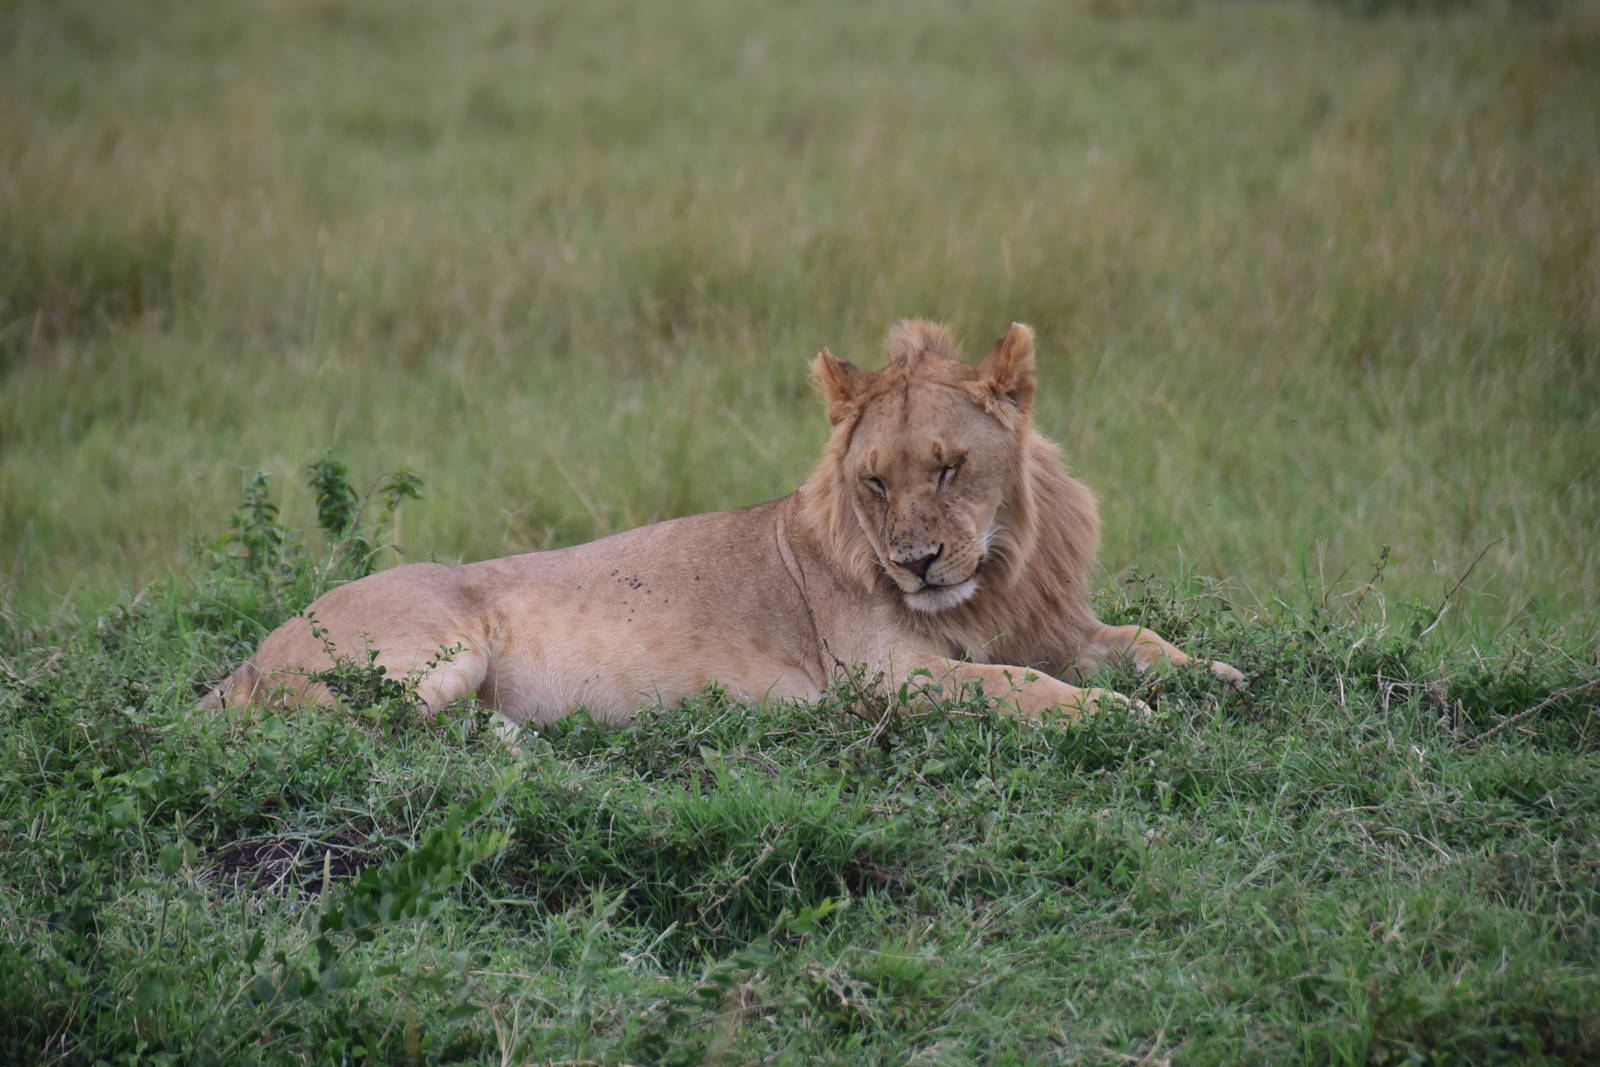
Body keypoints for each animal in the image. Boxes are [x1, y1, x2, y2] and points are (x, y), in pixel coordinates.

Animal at [203, 320, 1243, 726]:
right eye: (874, 481)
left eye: (949, 465)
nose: (915, 562)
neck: (995, 569)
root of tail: (249, 655)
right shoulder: (885, 675)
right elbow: (1018, 685)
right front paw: (1118, 716)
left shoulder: (1054, 621)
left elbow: (1142, 641)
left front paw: (1218, 676)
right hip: (431, 654)